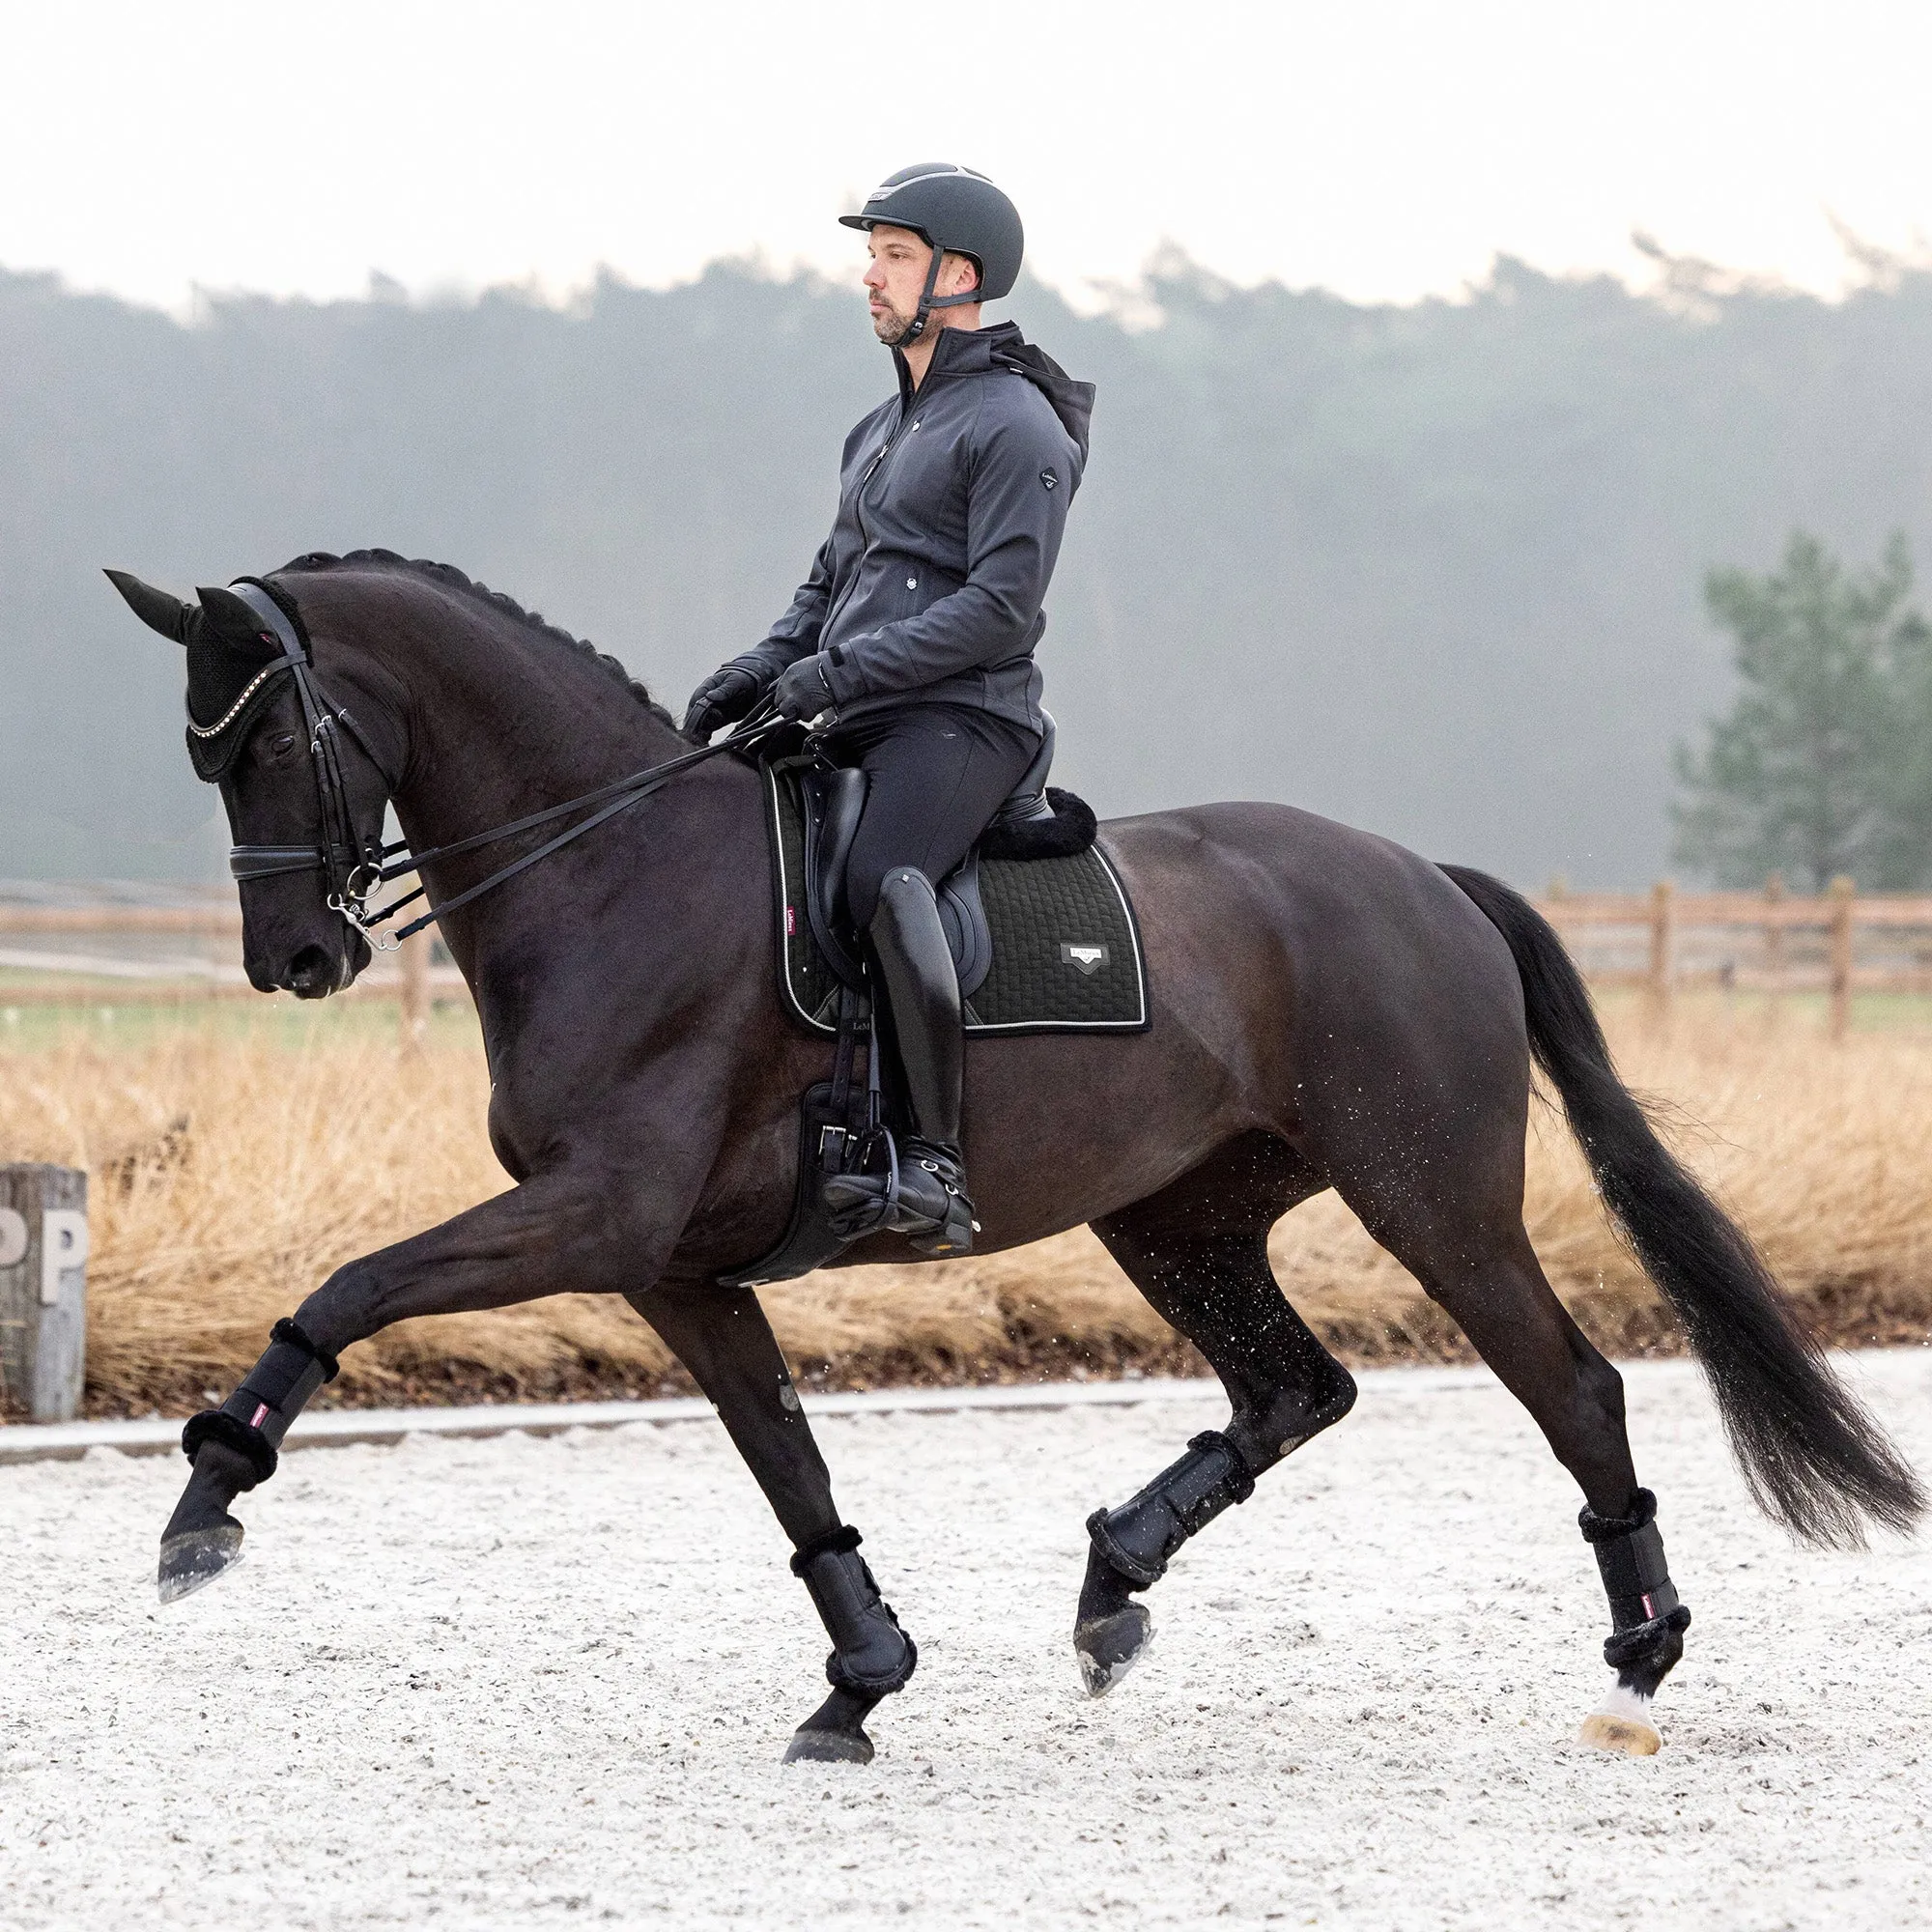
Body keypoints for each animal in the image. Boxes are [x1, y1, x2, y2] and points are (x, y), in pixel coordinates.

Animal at [109, 553, 1932, 1762]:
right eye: (200, 753)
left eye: (265, 742)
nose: (295, 962)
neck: (608, 871)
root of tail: (1426, 877)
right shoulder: (677, 1266)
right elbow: (789, 1469)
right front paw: (859, 1681)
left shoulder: (593, 1216)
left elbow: (353, 1287)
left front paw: (206, 1499)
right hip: (1180, 1217)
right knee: (1297, 1388)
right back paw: (1112, 1587)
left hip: (1433, 1201)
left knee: (1573, 1385)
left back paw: (1640, 1651)